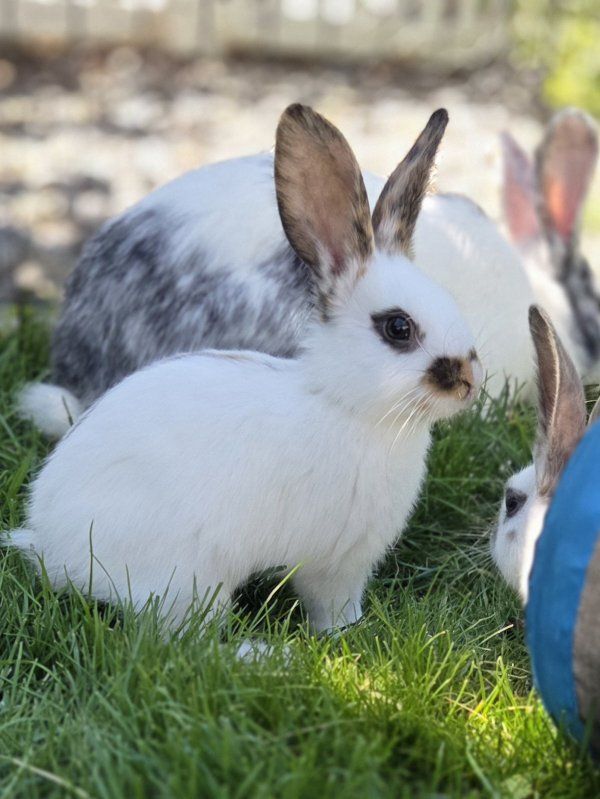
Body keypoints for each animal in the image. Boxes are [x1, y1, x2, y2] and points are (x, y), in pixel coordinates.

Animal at [8, 104, 482, 632]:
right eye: (398, 327)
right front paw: (345, 631)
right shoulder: (338, 564)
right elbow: (330, 604)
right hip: (191, 576)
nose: (469, 381)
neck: (346, 406)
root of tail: (55, 549)